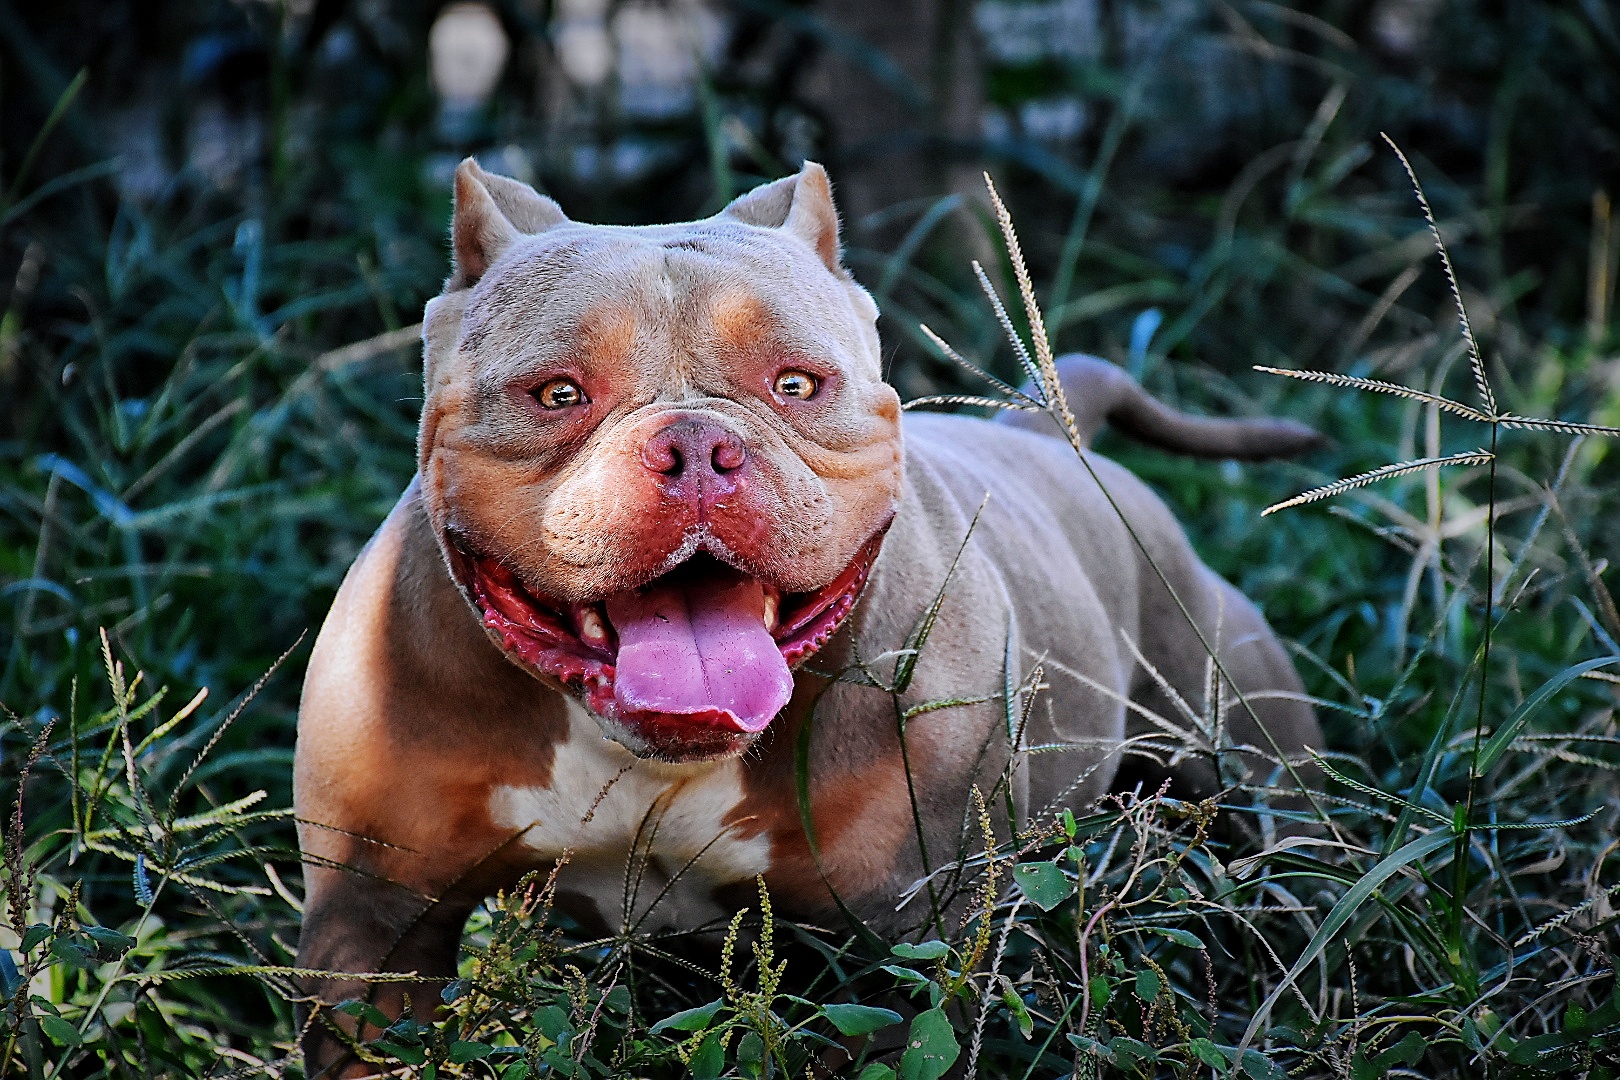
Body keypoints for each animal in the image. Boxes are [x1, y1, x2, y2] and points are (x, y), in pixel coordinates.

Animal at [294, 160, 1315, 1075]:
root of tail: (1046, 434)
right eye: (557, 394)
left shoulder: (912, 947)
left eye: (796, 385)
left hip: (1253, 772)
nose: (696, 445)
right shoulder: (371, 929)